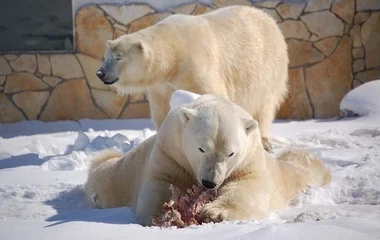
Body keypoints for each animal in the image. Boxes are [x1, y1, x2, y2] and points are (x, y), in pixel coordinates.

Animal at [84, 93, 332, 226]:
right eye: (201, 148)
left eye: (230, 153)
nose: (209, 182)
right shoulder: (170, 152)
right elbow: (160, 184)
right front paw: (167, 214)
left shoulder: (248, 161)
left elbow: (247, 188)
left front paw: (214, 212)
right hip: (124, 172)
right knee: (106, 175)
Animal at [96, 5, 290, 152]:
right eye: (105, 57)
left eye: (118, 57)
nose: (100, 73)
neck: (173, 56)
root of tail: (270, 20)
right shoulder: (161, 86)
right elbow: (161, 110)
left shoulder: (196, 66)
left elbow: (212, 97)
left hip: (267, 70)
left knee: (264, 107)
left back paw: (263, 142)